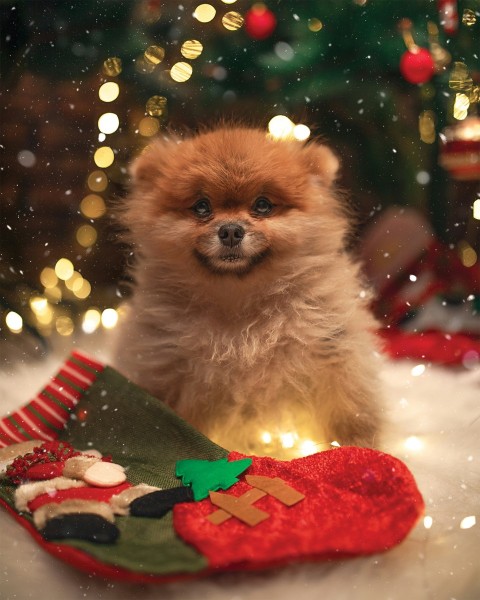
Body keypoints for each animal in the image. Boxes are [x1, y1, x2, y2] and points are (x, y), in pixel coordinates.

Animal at [112, 126, 382, 454]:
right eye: (201, 207)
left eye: (262, 205)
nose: (230, 230)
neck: (238, 305)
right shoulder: (164, 366)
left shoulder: (332, 351)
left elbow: (350, 412)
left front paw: (363, 451)